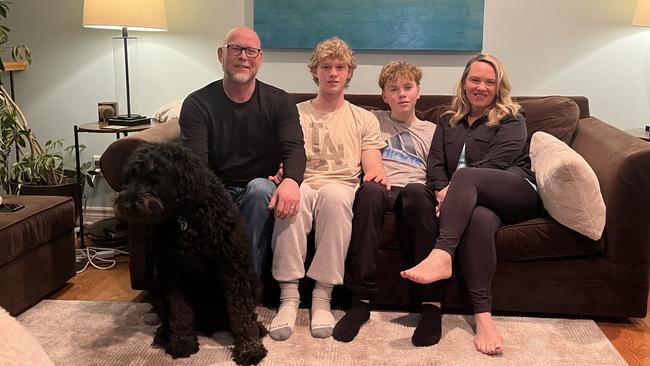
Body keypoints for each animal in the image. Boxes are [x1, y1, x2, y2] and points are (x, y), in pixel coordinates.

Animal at [115, 142, 268, 364]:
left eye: (153, 174)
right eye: (129, 176)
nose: (125, 204)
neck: (185, 218)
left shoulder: (232, 267)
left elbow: (242, 314)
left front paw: (249, 347)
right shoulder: (172, 271)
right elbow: (179, 313)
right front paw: (182, 341)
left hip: (253, 282)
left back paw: (258, 327)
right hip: (157, 286)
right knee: (168, 317)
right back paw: (164, 334)